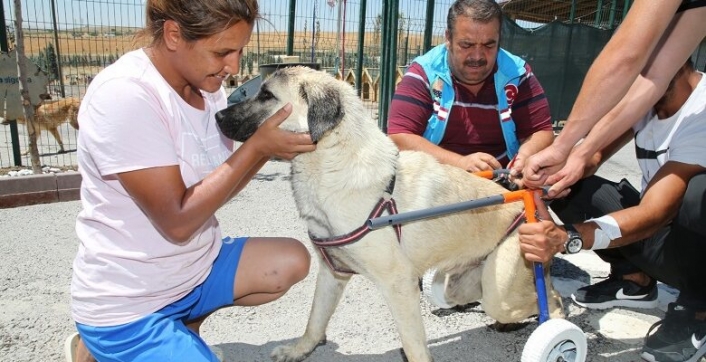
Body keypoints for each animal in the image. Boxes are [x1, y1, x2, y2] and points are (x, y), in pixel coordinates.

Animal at [214, 66, 560, 362]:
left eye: (267, 95)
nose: (216, 114)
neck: (332, 159)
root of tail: (532, 208)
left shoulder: (399, 285)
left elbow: (414, 345)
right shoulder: (332, 273)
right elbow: (314, 321)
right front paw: (300, 350)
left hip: (500, 294)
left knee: (552, 301)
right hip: (463, 284)